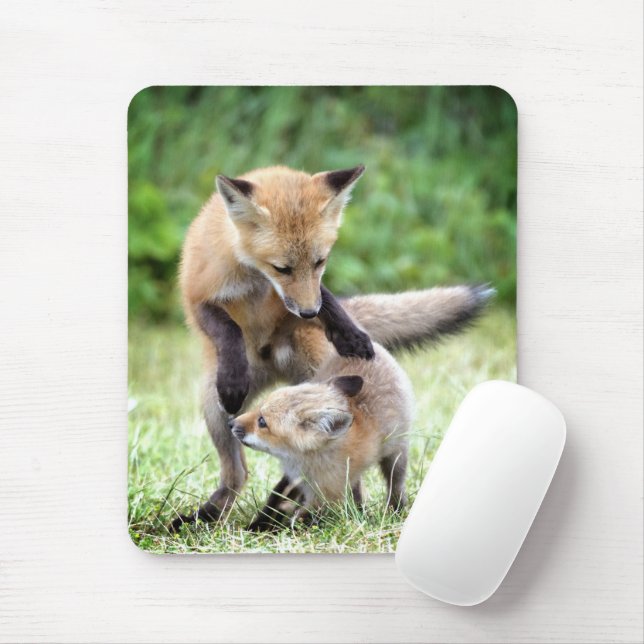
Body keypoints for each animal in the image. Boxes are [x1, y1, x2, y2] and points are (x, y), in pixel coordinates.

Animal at [231, 342, 414, 531]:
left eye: (262, 422)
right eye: (257, 408)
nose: (231, 423)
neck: (304, 461)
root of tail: (376, 347)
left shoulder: (326, 495)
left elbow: (300, 519)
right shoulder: (294, 479)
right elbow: (275, 500)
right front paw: (258, 525)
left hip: (396, 455)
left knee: (395, 483)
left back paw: (395, 508)